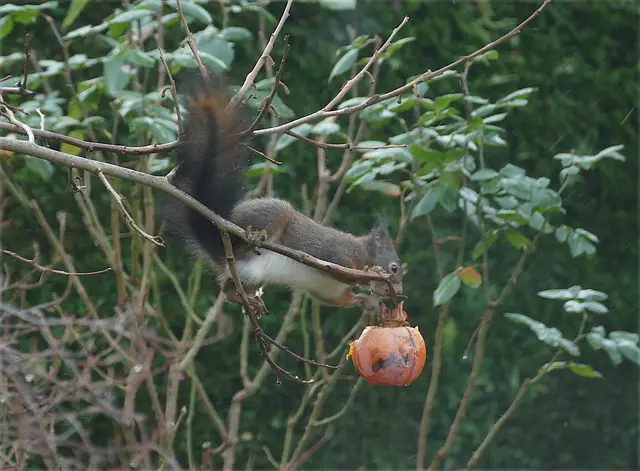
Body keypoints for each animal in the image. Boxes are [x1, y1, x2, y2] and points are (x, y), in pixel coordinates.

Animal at [161, 71, 404, 314]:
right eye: (394, 267)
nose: (400, 292)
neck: (366, 251)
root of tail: (218, 237)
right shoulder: (340, 254)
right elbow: (343, 268)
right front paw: (372, 273)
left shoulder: (329, 292)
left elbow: (344, 298)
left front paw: (371, 303)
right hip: (269, 217)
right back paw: (255, 238)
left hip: (251, 276)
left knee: (227, 289)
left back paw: (248, 300)